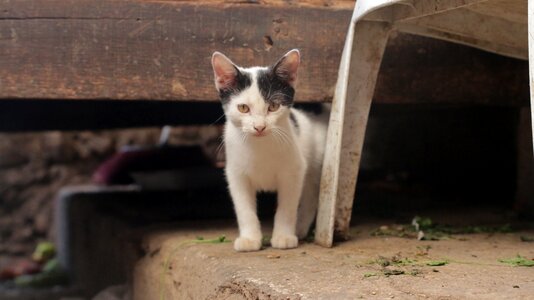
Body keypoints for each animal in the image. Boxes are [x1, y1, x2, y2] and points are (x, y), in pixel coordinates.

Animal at [211, 49, 328, 251]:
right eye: (243, 108)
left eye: (273, 106)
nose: (259, 127)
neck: (260, 147)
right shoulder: (236, 174)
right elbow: (244, 209)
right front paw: (250, 239)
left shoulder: (294, 171)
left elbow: (287, 207)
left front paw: (283, 236)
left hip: (315, 162)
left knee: (311, 196)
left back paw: (300, 228)